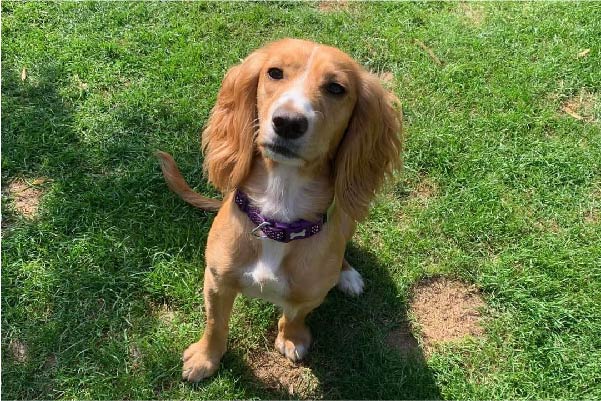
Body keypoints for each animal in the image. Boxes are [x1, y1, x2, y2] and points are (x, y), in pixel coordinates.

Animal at [157, 38, 404, 382]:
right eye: (274, 72)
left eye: (336, 88)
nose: (288, 122)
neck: (278, 212)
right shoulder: (216, 281)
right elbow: (215, 324)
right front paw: (205, 358)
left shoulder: (311, 294)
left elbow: (295, 314)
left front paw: (292, 338)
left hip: (347, 220)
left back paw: (347, 274)